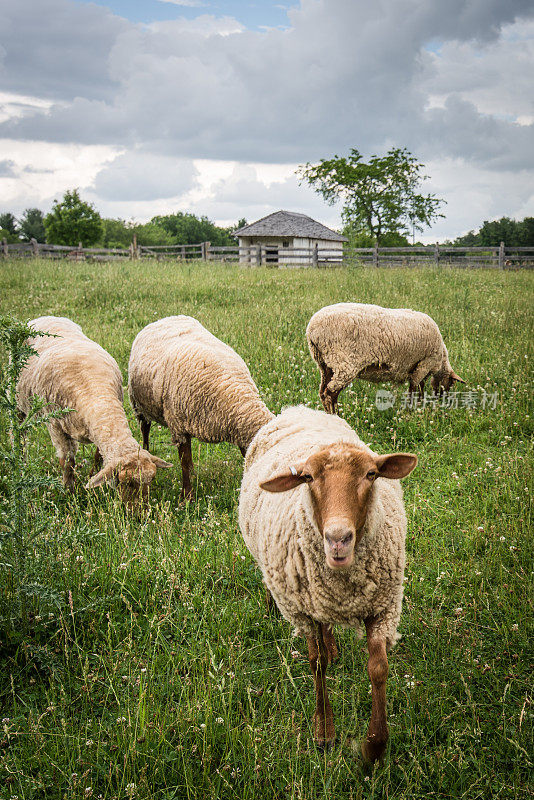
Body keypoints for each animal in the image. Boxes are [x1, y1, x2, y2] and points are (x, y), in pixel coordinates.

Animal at [16, 318, 172, 500]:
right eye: (125, 482)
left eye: (151, 479)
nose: (140, 509)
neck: (96, 394)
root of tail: (45, 318)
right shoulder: (55, 425)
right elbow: (67, 461)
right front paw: (69, 491)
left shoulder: (99, 427)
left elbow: (98, 455)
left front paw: (93, 473)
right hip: (18, 400)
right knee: (19, 433)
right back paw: (20, 457)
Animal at [128, 314, 274, 496]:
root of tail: (165, 318)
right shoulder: (178, 426)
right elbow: (183, 462)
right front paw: (187, 496)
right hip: (139, 405)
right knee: (145, 429)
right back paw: (146, 450)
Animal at [239, 406, 418, 764]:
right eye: (308, 478)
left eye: (372, 474)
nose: (338, 538)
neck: (343, 583)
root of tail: (298, 409)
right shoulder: (302, 612)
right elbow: (316, 664)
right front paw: (324, 733)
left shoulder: (383, 606)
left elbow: (378, 668)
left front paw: (374, 747)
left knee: (329, 629)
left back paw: (333, 645)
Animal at [308, 300, 466, 412]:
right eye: (451, 383)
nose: (441, 398)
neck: (441, 360)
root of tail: (312, 330)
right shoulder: (424, 363)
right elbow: (415, 387)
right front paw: (414, 408)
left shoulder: (418, 366)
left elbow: (419, 385)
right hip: (344, 363)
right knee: (330, 393)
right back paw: (336, 416)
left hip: (325, 364)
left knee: (322, 392)